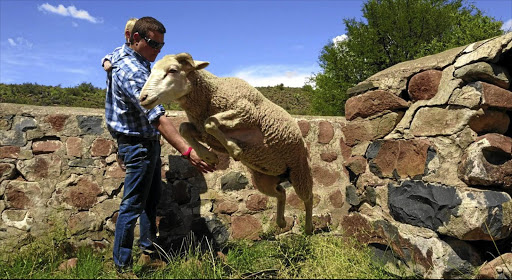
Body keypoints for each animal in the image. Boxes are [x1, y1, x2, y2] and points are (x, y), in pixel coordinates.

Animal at [140, 52, 316, 234]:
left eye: (173, 70)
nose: (142, 98)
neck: (210, 94)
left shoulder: (246, 112)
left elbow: (210, 123)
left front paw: (234, 149)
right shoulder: (203, 131)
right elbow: (185, 128)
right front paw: (208, 156)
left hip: (299, 171)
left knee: (308, 197)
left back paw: (308, 227)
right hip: (264, 180)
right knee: (281, 193)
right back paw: (281, 222)